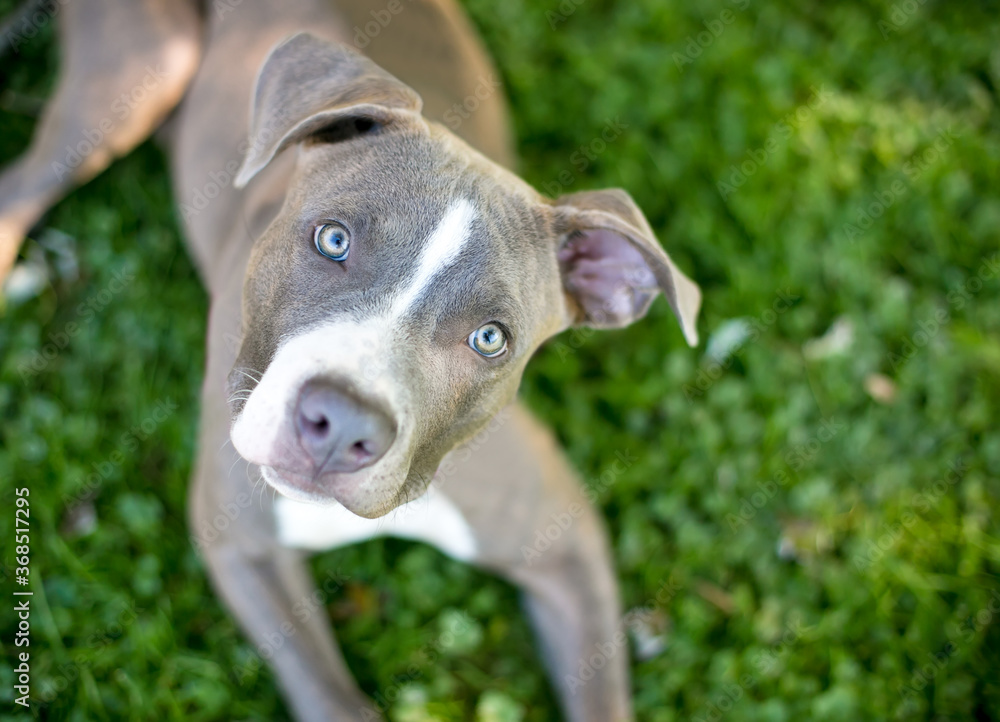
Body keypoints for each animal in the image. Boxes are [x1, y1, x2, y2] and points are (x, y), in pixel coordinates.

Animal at [1, 1, 704, 720]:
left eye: (490, 338)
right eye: (333, 239)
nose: (339, 425)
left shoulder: (564, 537)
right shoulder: (239, 539)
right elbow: (328, 694)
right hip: (143, 70)